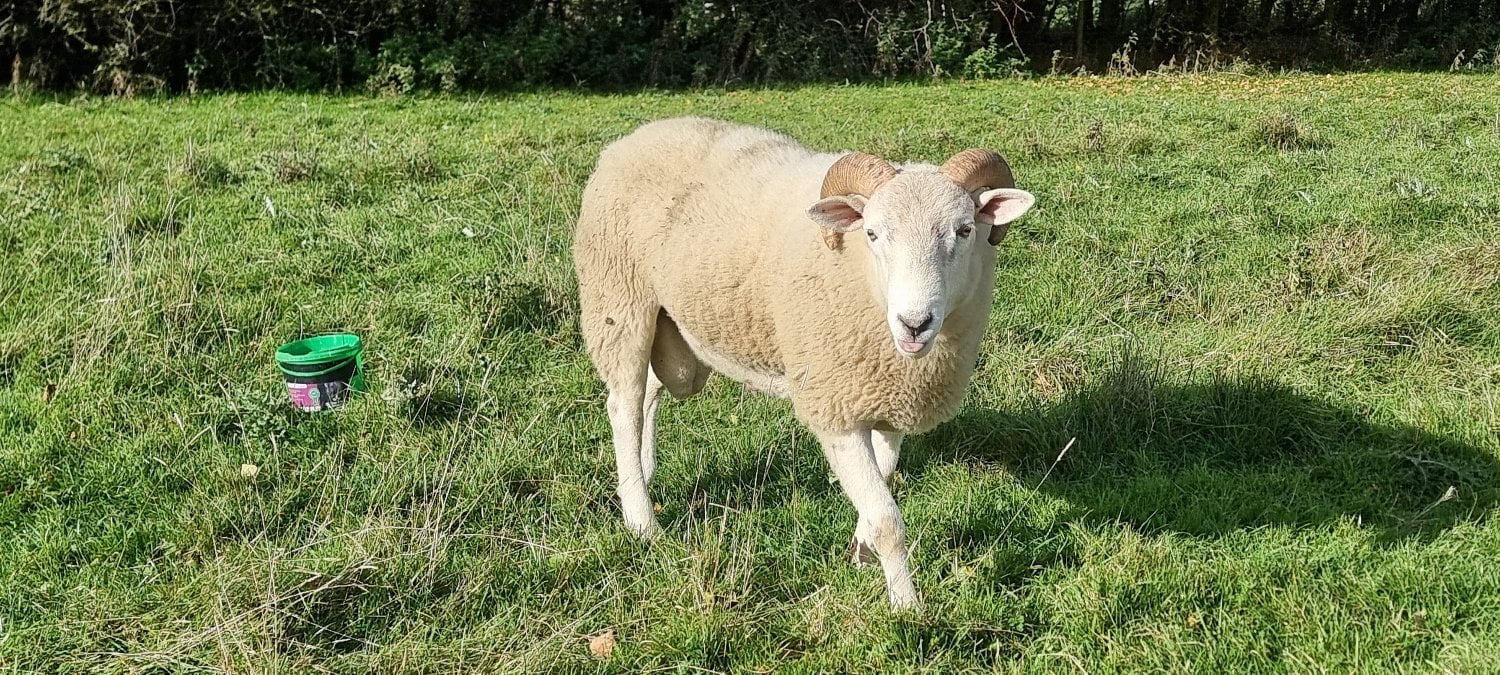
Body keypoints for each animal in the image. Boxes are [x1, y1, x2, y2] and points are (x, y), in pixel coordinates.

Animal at [571, 116, 1036, 610]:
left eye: (965, 230)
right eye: (872, 234)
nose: (915, 324)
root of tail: (634, 137)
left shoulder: (890, 399)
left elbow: (884, 481)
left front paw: (861, 551)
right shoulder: (835, 408)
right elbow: (888, 520)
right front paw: (906, 606)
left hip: (673, 329)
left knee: (650, 396)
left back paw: (640, 476)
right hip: (619, 302)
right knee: (624, 406)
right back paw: (642, 521)